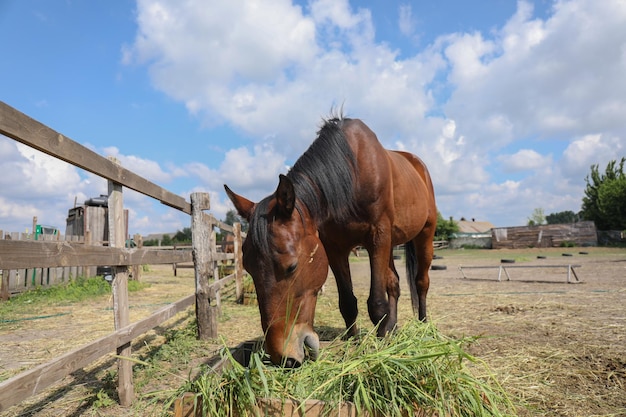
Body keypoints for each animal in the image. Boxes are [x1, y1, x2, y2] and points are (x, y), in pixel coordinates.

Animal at [223, 115, 434, 366]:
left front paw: (378, 349)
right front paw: (354, 344)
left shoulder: (378, 237)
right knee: (394, 283)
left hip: (424, 234)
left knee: (421, 282)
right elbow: (347, 303)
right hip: (391, 244)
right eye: (248, 268)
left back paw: (422, 326)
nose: (283, 358)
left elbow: (376, 303)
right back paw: (392, 328)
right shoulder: (335, 248)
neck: (351, 173)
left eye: (291, 267)